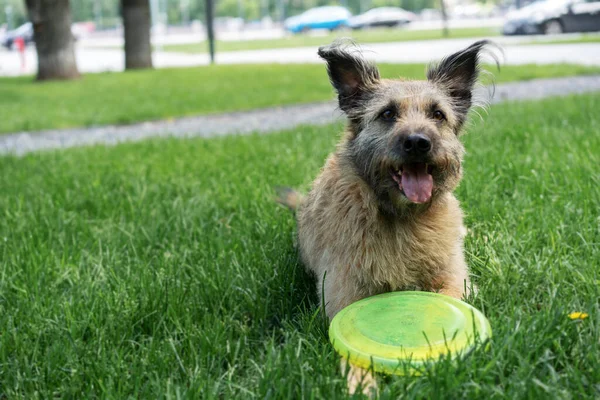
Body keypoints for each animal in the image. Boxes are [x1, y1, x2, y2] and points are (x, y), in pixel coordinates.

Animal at [278, 39, 494, 394]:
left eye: (438, 114)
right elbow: (349, 348)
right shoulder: (343, 294)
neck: (402, 217)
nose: (418, 142)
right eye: (388, 113)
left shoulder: (452, 277)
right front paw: (360, 382)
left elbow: (452, 300)